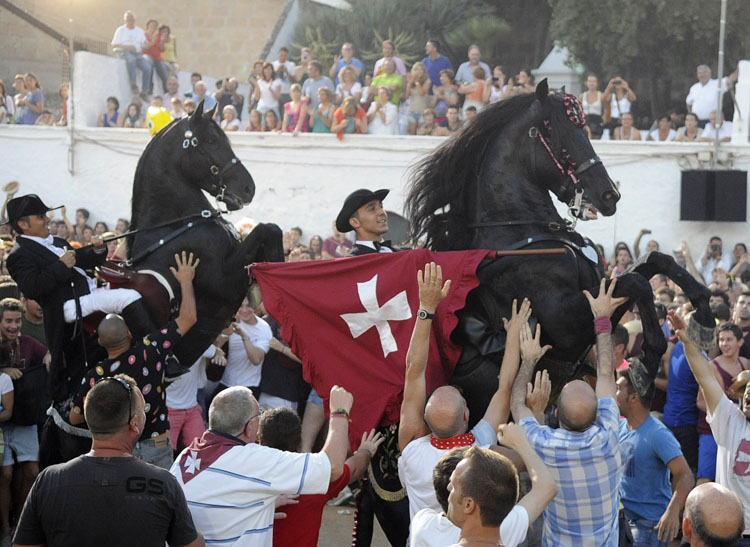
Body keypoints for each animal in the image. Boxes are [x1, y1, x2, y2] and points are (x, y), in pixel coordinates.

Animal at [128, 100, 284, 370]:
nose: (249, 188)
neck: (173, 226)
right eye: (211, 140)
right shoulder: (222, 280)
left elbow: (272, 230)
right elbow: (267, 227)